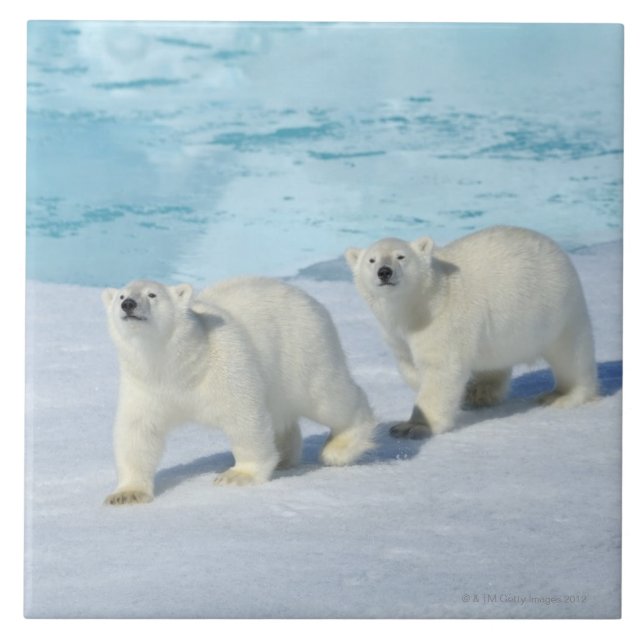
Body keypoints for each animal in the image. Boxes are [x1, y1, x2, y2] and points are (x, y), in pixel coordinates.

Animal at [101, 277, 375, 504]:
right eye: (121, 295)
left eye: (152, 294)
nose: (128, 304)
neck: (180, 366)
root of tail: (307, 297)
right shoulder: (145, 386)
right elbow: (137, 431)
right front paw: (126, 494)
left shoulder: (225, 363)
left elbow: (244, 416)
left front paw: (237, 475)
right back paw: (284, 456)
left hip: (303, 350)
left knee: (328, 396)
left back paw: (340, 448)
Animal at [345, 225, 598, 438]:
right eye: (371, 260)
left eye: (401, 256)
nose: (384, 272)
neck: (418, 305)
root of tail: (555, 247)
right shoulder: (397, 334)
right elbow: (409, 365)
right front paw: (461, 395)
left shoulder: (441, 320)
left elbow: (441, 369)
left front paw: (413, 426)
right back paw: (480, 393)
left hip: (558, 307)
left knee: (571, 353)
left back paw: (563, 395)